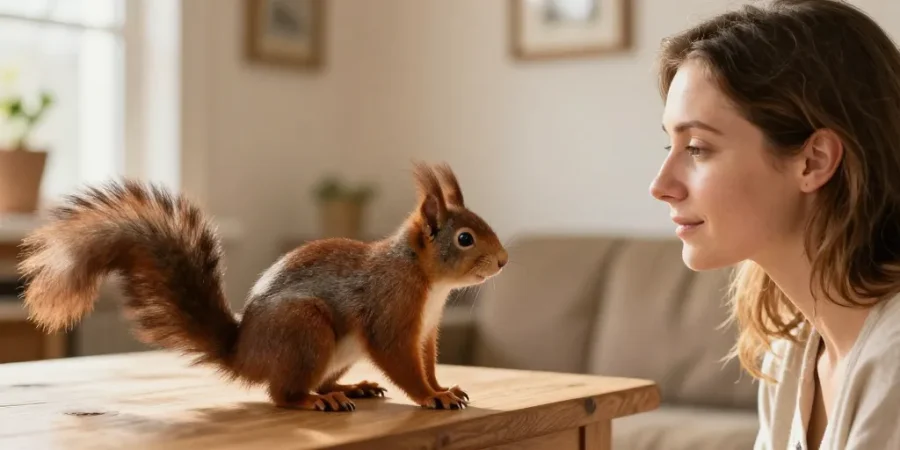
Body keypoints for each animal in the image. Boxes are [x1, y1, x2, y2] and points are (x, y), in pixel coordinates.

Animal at [17, 162, 507, 412]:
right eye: (465, 238)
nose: (503, 260)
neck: (428, 283)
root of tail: (244, 353)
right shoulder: (391, 315)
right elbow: (402, 364)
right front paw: (431, 397)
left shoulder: (426, 331)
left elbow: (427, 363)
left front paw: (445, 388)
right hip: (306, 329)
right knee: (281, 394)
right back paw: (318, 401)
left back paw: (350, 389)